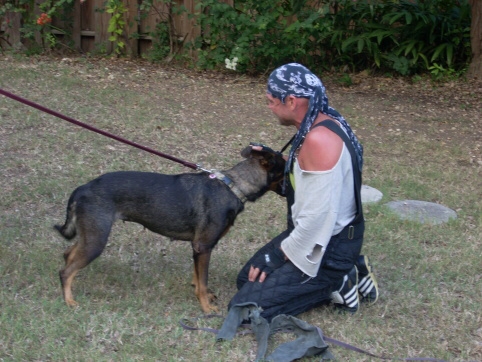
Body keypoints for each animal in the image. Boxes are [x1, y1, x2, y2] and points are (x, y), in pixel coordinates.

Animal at [54, 146, 284, 312]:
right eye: (285, 169)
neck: (233, 186)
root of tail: (82, 188)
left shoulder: (198, 248)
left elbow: (198, 278)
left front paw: (201, 295)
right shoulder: (204, 246)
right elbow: (202, 281)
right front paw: (206, 308)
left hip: (89, 234)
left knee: (68, 253)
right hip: (96, 240)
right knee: (65, 271)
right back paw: (68, 300)